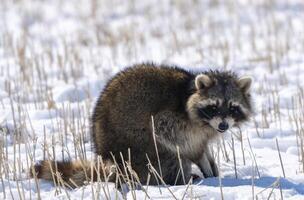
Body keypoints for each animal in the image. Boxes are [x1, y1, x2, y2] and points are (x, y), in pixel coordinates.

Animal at [32, 63, 253, 188]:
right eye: (213, 107)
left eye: (232, 107)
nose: (223, 126)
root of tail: (112, 162)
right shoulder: (174, 119)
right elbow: (175, 138)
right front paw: (202, 163)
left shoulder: (204, 130)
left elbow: (203, 145)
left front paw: (211, 165)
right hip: (140, 151)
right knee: (171, 156)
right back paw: (180, 179)